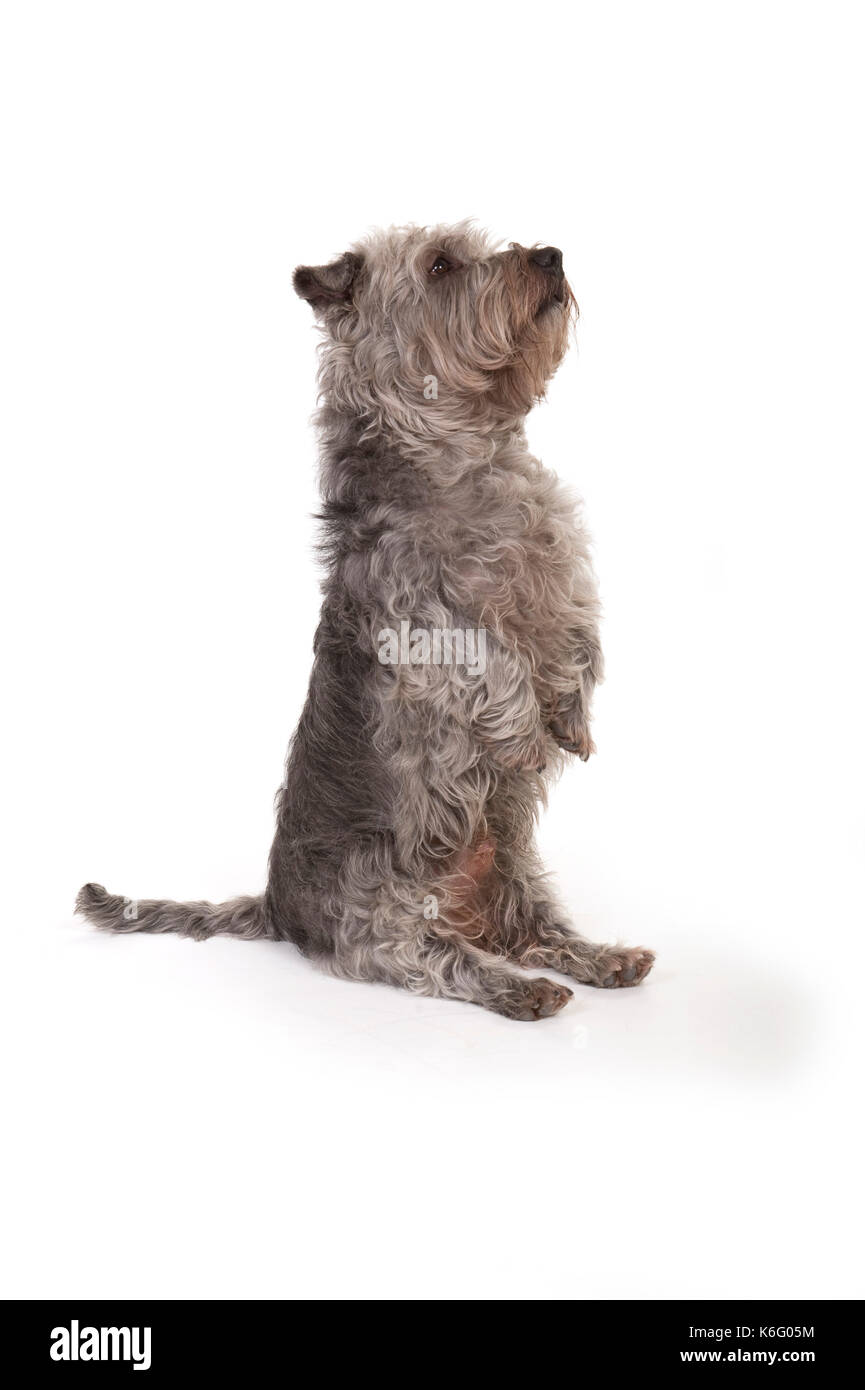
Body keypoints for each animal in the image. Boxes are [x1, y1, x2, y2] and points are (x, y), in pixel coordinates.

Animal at [77, 219, 656, 1023]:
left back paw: (602, 958)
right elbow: (490, 663)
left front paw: (571, 718)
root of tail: (278, 906)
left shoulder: (560, 571)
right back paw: (520, 989)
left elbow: (579, 639)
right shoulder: (419, 624)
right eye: (440, 265)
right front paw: (520, 727)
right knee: (435, 959)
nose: (549, 256)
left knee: (537, 931)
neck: (466, 461)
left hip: (513, 868)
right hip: (376, 904)